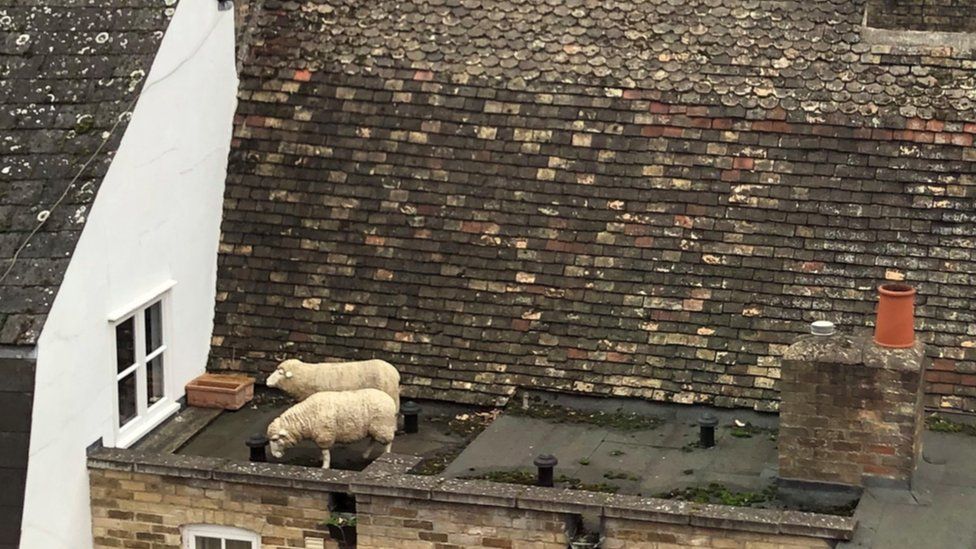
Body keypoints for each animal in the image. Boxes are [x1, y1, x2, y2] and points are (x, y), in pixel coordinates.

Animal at [266, 388, 396, 468]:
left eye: (275, 439)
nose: (274, 455)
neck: (306, 417)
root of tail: (390, 400)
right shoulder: (322, 436)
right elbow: (323, 451)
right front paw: (320, 459)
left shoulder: (325, 435)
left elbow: (325, 453)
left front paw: (325, 466)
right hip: (376, 427)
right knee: (373, 439)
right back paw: (365, 454)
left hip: (384, 426)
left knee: (388, 443)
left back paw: (387, 455)